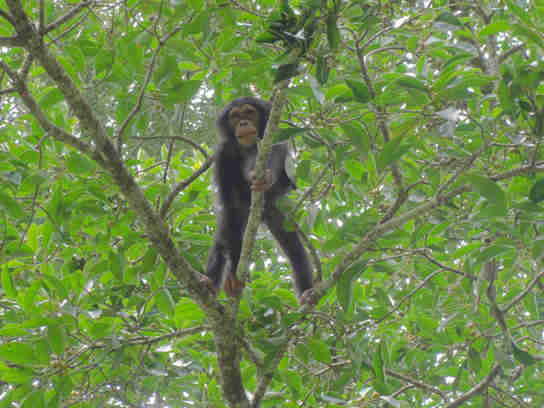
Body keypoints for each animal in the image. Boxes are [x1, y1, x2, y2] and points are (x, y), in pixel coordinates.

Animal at [202, 97, 314, 304]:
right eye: (235, 117)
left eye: (249, 112)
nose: (243, 123)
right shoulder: (223, 155)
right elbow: (230, 205)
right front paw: (233, 275)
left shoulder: (276, 137)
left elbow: (280, 162)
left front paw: (265, 178)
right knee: (223, 236)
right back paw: (211, 283)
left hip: (275, 213)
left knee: (294, 249)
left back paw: (307, 291)